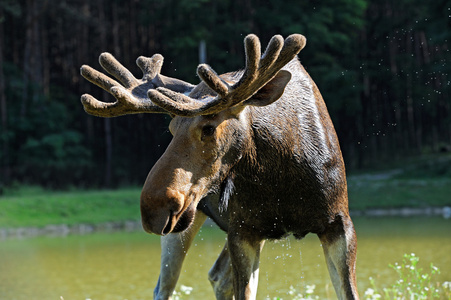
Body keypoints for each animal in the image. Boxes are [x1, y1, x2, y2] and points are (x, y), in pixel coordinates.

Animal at [79, 34, 358, 298]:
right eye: (171, 127)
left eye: (209, 128)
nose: (152, 209)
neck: (281, 176)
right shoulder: (243, 230)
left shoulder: (339, 223)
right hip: (184, 225)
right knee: (166, 286)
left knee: (217, 277)